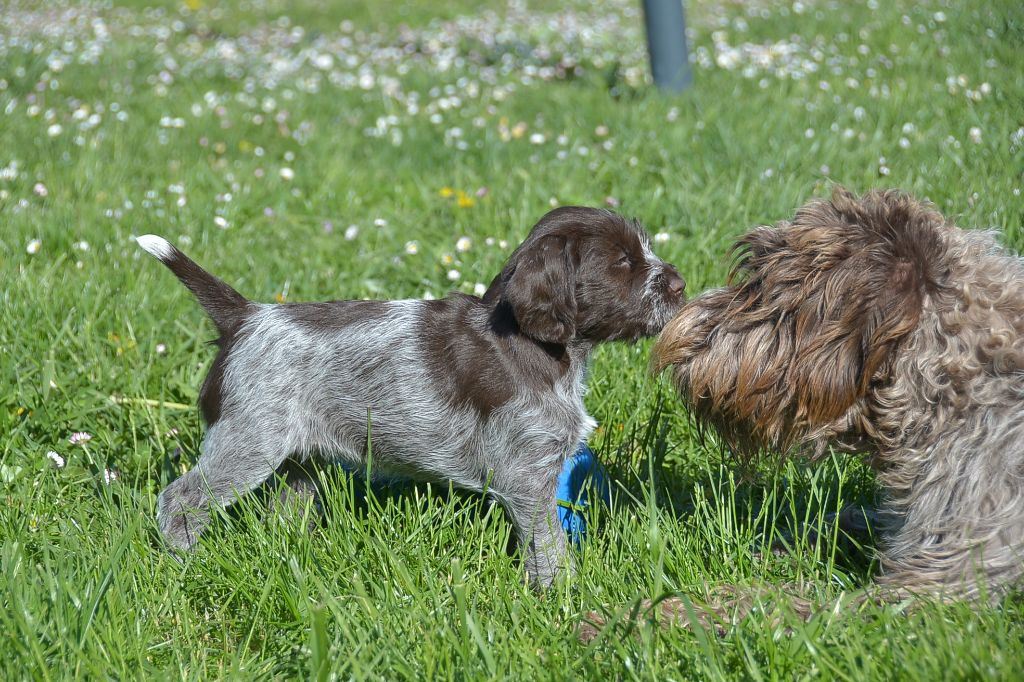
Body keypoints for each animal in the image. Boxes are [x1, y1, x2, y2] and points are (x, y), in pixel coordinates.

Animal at [137, 206, 685, 586]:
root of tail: (246, 317)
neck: (536, 345)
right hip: (248, 441)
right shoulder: (526, 474)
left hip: (298, 459)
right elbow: (546, 544)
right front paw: (562, 593)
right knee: (180, 499)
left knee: (286, 510)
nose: (680, 283)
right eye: (623, 262)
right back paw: (186, 562)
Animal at [653, 187, 1024, 602]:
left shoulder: (941, 580)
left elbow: (795, 604)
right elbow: (847, 517)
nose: (684, 328)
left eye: (764, 288)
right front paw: (776, 543)